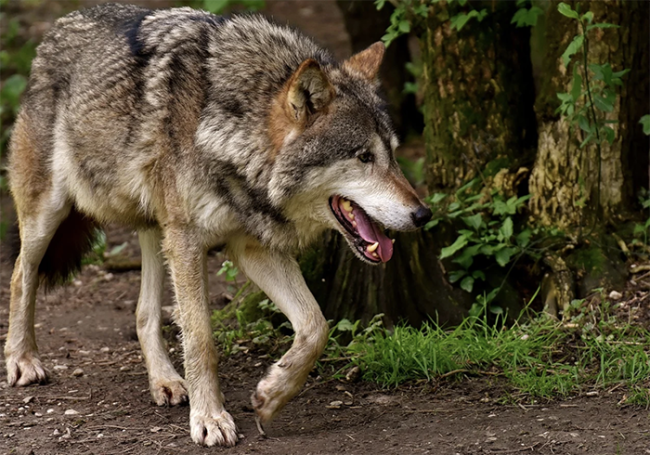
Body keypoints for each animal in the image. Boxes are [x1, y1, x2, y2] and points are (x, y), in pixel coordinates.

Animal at [4, 3, 432, 447]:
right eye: (364, 157)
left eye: (394, 155)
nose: (423, 214)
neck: (231, 133)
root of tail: (60, 25)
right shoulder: (190, 241)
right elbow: (201, 339)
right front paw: (209, 418)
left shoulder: (251, 247)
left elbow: (316, 326)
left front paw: (271, 396)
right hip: (50, 214)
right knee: (21, 274)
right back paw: (22, 360)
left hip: (157, 230)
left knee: (144, 312)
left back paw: (166, 381)